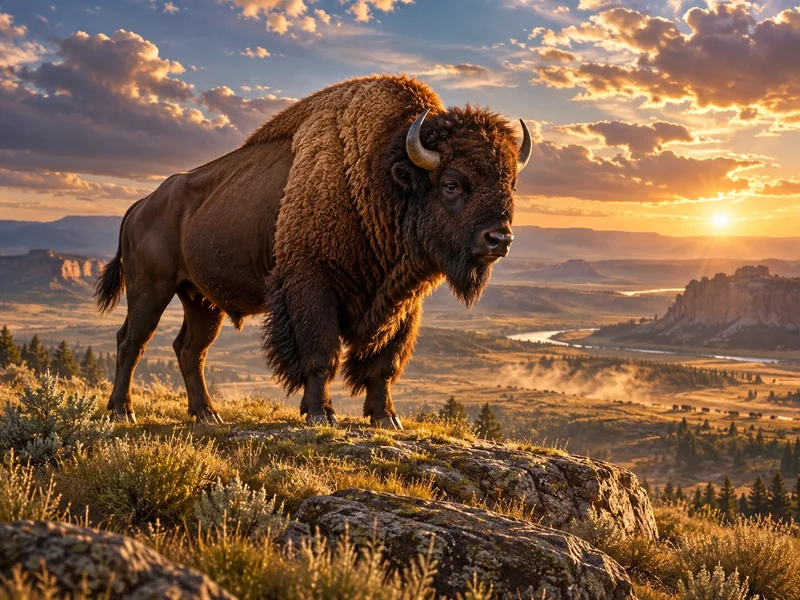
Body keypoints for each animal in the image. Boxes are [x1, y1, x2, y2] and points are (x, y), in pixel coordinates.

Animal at [95, 75, 531, 428]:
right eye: (452, 183)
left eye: (510, 183)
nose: (500, 239)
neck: (379, 176)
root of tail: (141, 205)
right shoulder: (312, 285)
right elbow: (322, 355)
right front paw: (321, 413)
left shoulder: (402, 303)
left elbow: (383, 364)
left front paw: (387, 418)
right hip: (151, 289)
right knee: (131, 341)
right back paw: (122, 411)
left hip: (202, 299)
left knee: (190, 350)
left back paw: (207, 414)